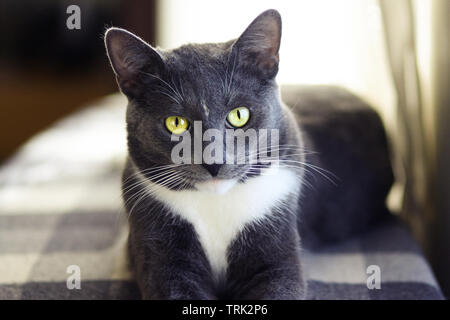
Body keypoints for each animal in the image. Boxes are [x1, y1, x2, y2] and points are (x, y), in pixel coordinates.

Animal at [103, 9, 392, 300]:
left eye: (239, 115)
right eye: (176, 123)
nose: (214, 162)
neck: (216, 205)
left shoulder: (278, 247)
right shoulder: (161, 255)